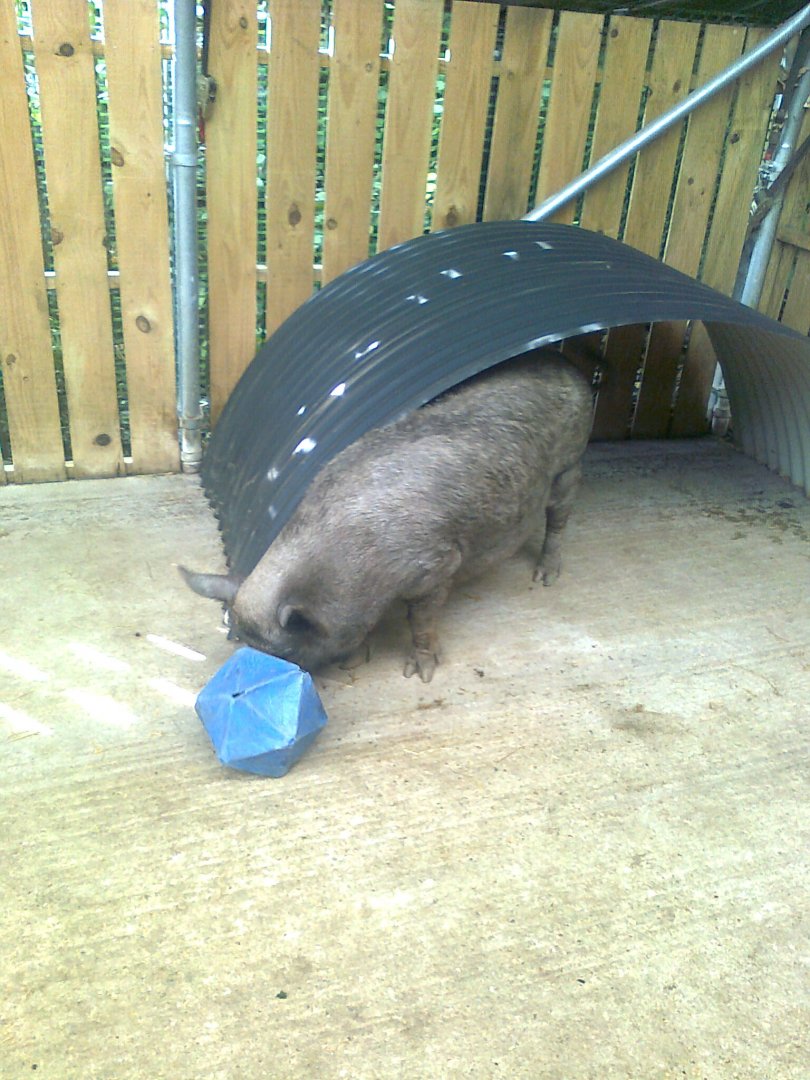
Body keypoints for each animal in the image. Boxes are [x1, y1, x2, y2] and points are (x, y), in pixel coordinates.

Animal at [181, 351, 593, 682]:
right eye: (241, 643)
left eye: (285, 652)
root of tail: (567, 364)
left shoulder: (438, 565)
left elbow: (421, 620)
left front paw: (419, 674)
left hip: (570, 461)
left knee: (559, 514)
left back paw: (545, 577)